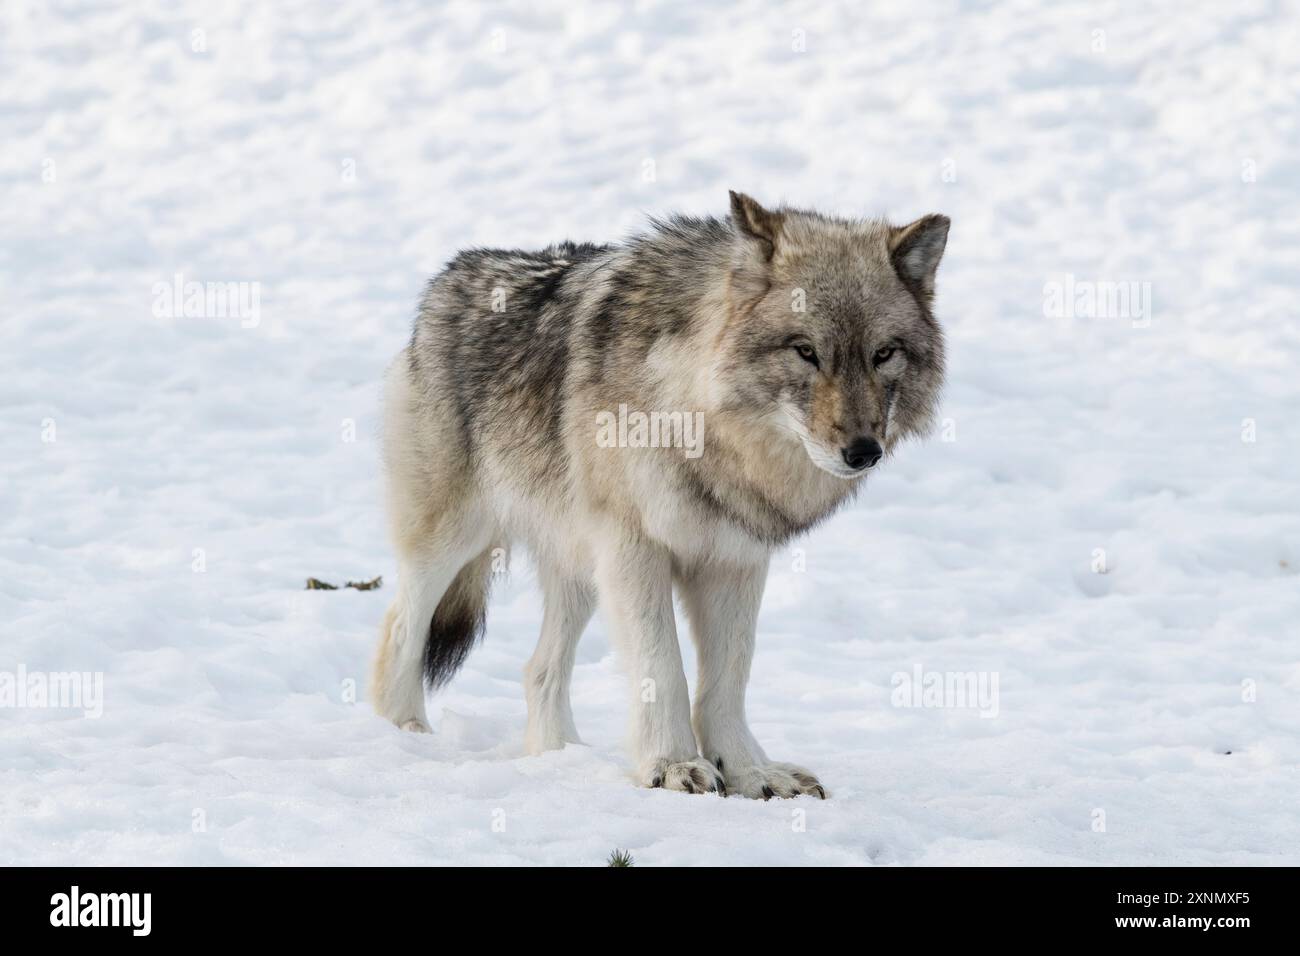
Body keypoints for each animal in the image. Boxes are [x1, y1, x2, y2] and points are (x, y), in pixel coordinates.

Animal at [371, 191, 951, 796]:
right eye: (805, 351)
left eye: (884, 353)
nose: (863, 451)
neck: (706, 430)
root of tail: (451, 274)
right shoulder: (634, 550)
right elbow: (662, 669)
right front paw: (671, 765)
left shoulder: (735, 559)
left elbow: (729, 678)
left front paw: (751, 771)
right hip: (454, 540)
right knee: (400, 630)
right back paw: (406, 734)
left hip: (579, 571)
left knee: (540, 670)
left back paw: (560, 760)